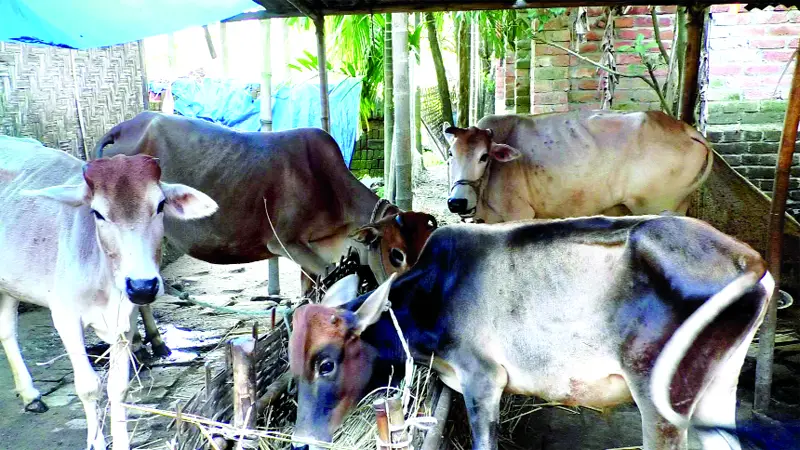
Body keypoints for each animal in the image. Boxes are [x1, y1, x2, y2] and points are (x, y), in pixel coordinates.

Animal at [0, 136, 217, 450]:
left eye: (160, 205)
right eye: (97, 213)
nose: (142, 286)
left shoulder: (125, 322)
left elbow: (119, 387)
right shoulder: (66, 319)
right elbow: (89, 387)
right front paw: (97, 441)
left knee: (6, 330)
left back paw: (30, 395)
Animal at [290, 215, 772, 450]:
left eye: (326, 363)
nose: (302, 439)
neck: (435, 292)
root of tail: (747, 259)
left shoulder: (483, 378)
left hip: (661, 401)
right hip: (716, 389)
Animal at [444, 110, 712, 223]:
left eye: (484, 157)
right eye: (450, 154)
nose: (457, 202)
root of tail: (685, 128)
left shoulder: (517, 214)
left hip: (656, 207)